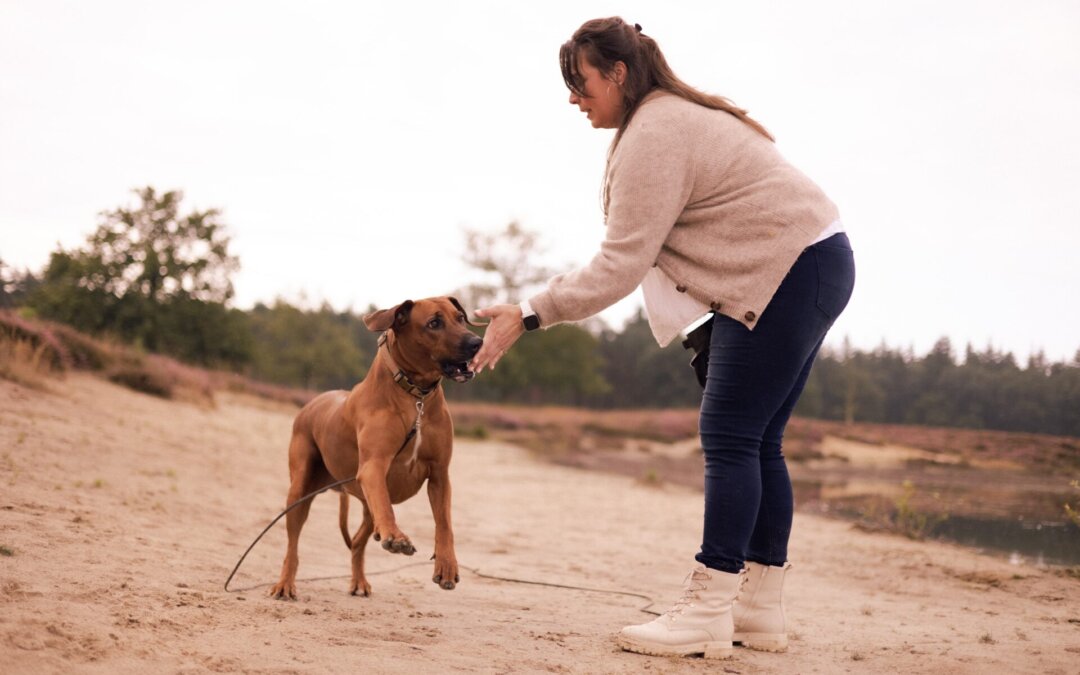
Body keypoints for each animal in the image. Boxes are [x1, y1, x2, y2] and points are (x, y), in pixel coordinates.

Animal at [272, 298, 483, 596]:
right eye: (434, 323)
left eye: (460, 318)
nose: (477, 342)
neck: (415, 398)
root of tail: (312, 402)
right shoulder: (374, 467)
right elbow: (387, 509)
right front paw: (396, 536)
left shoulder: (440, 474)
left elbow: (445, 523)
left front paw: (446, 564)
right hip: (300, 489)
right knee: (293, 542)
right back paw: (285, 583)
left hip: (365, 500)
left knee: (358, 541)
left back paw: (359, 581)